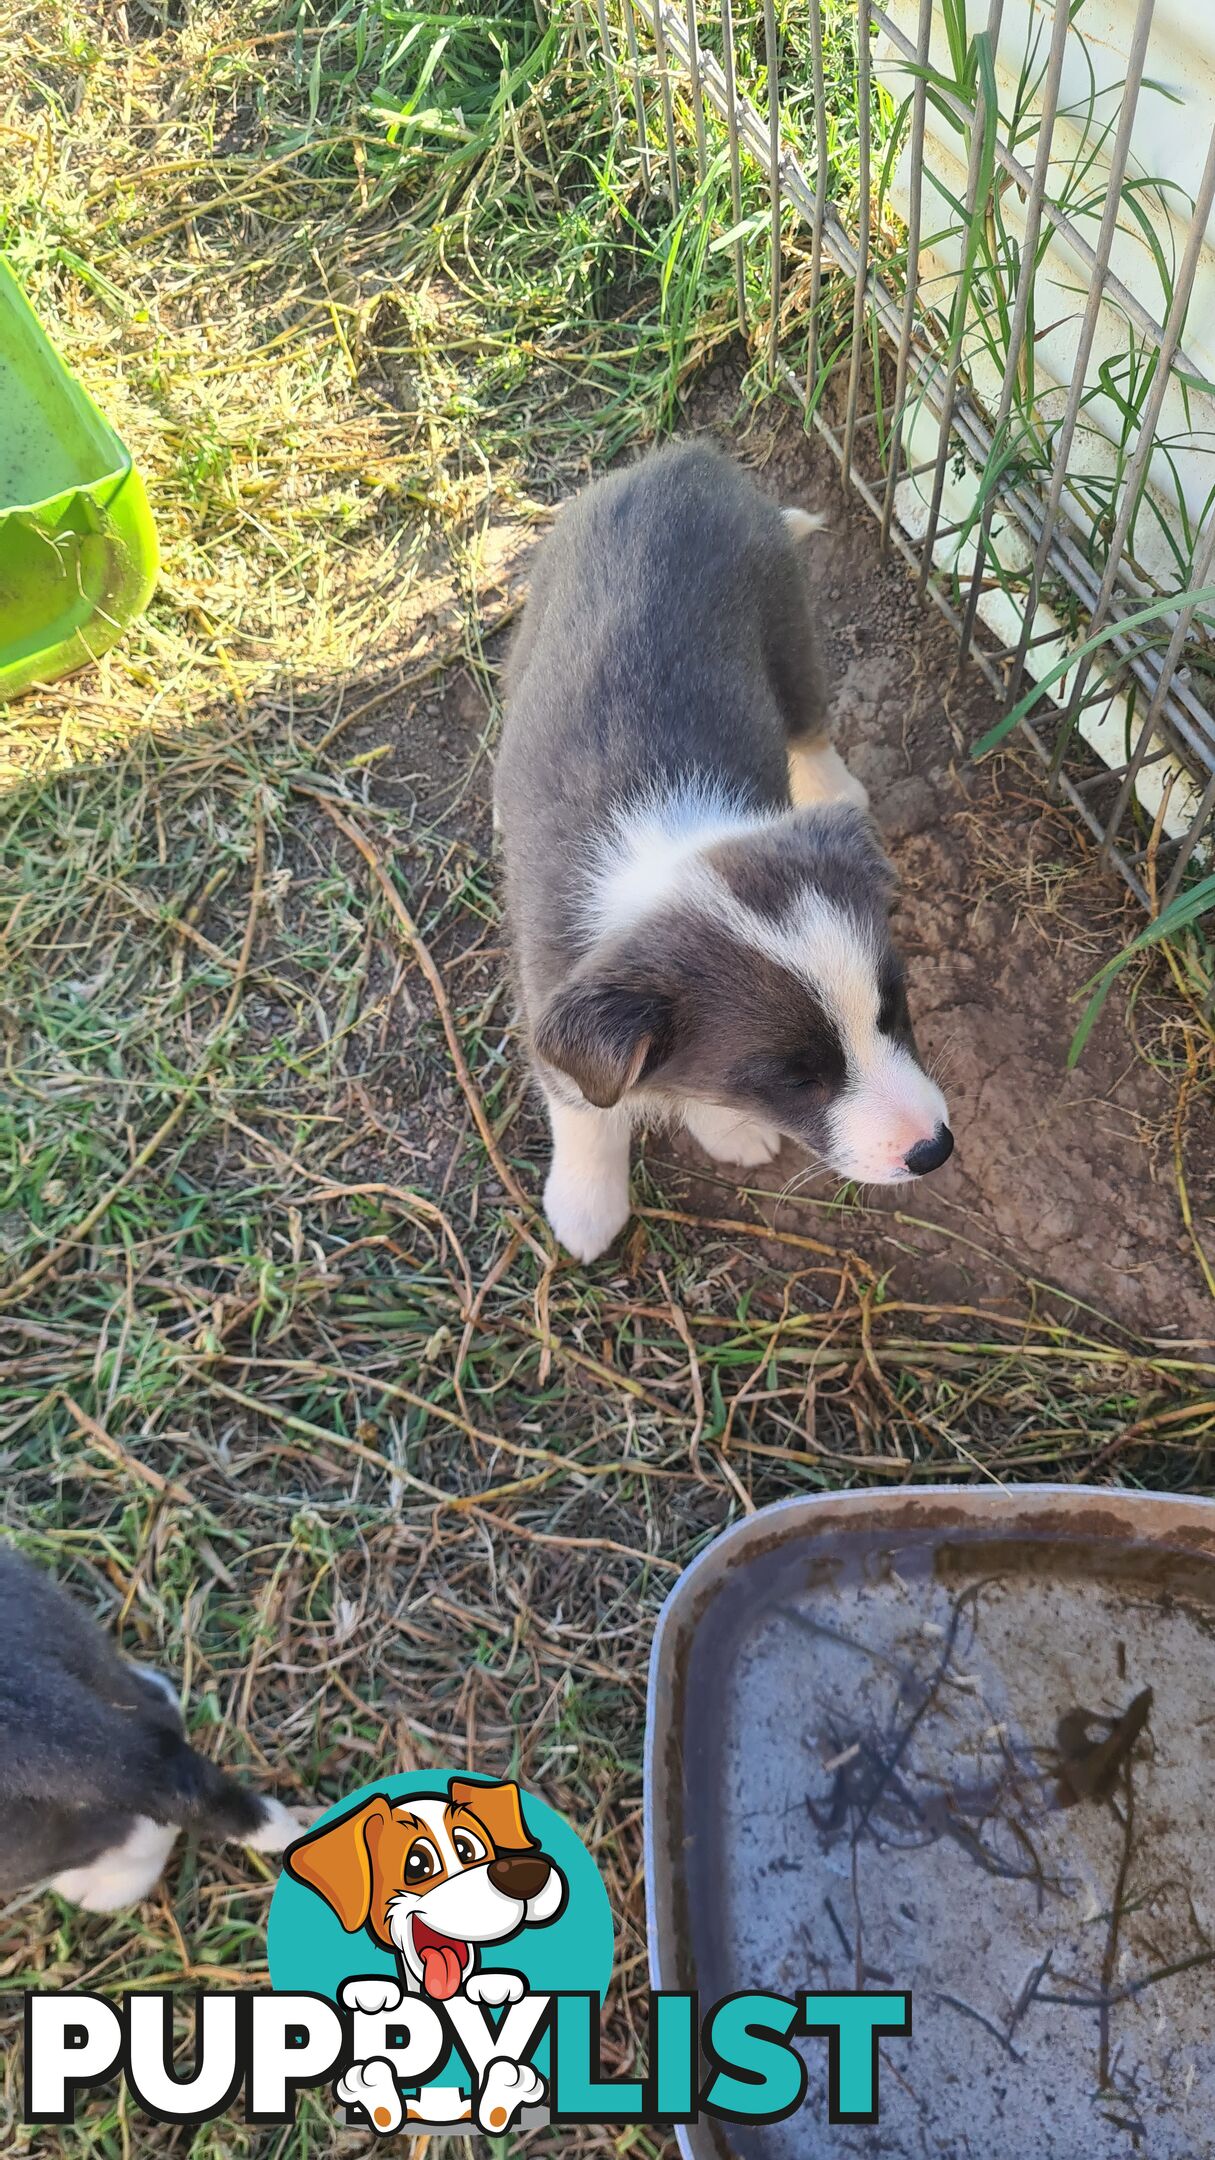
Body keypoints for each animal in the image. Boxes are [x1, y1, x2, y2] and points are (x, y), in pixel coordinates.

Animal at [492, 440, 946, 1261]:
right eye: (794, 1079)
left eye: (892, 1011)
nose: (935, 1151)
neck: (668, 851)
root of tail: (681, 459)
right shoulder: (555, 999)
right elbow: (590, 1116)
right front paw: (585, 1207)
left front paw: (725, 1129)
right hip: (531, 633)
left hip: (790, 631)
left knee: (809, 725)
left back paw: (833, 789)